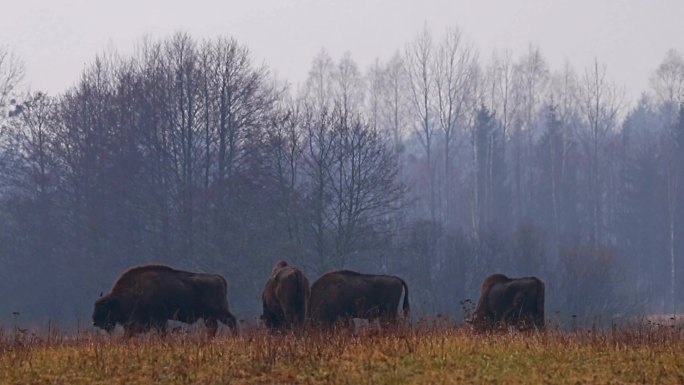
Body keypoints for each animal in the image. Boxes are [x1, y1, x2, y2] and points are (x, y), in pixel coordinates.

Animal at [92, 264, 238, 336]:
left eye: (103, 308)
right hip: (208, 316)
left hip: (218, 312)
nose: (95, 321)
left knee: (231, 321)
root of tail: (218, 277)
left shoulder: (159, 319)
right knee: (213, 328)